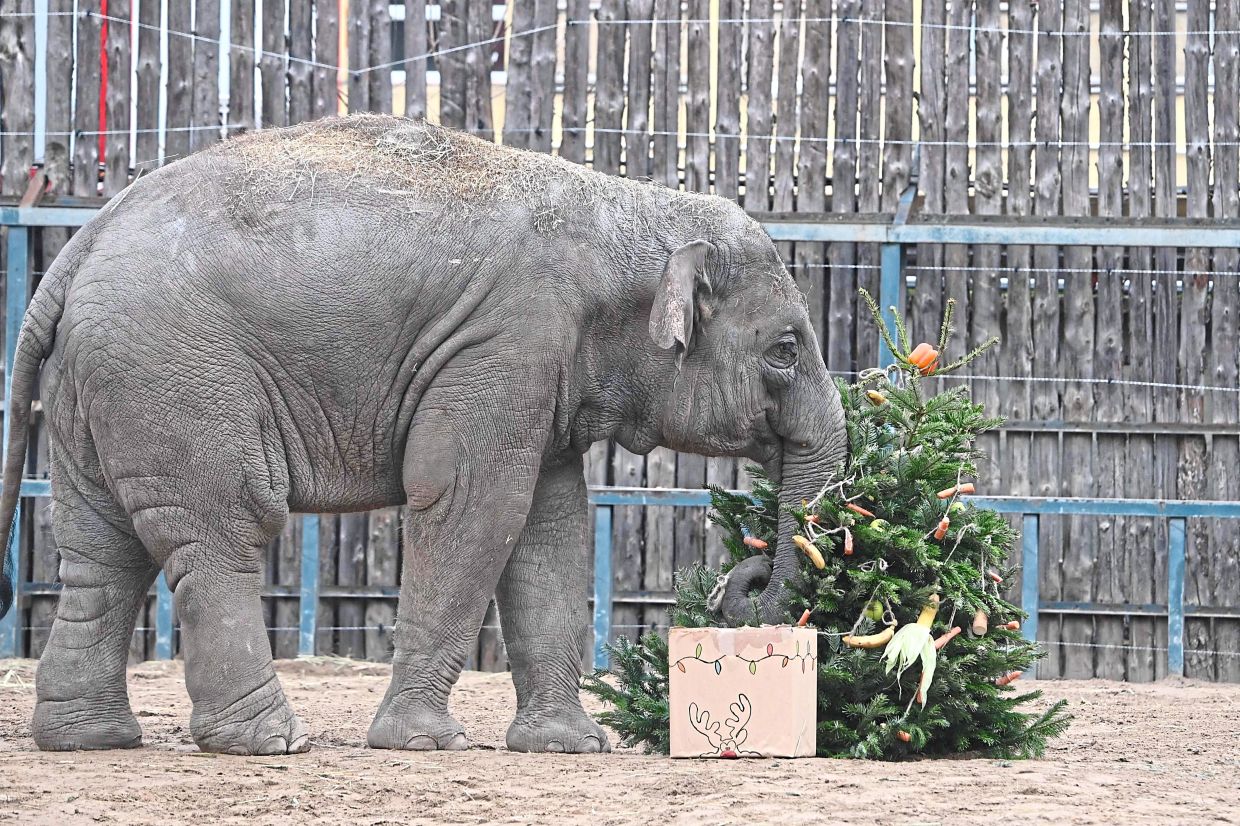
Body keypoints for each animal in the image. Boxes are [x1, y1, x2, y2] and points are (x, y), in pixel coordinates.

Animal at [0, 115, 847, 756]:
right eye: (785, 350)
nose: (742, 582)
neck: (630, 208)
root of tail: (79, 245)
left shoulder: (537, 369)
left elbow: (551, 528)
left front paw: (568, 747)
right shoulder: (503, 344)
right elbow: (474, 503)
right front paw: (421, 742)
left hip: (101, 381)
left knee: (102, 547)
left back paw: (89, 739)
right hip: (176, 372)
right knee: (224, 527)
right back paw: (271, 742)